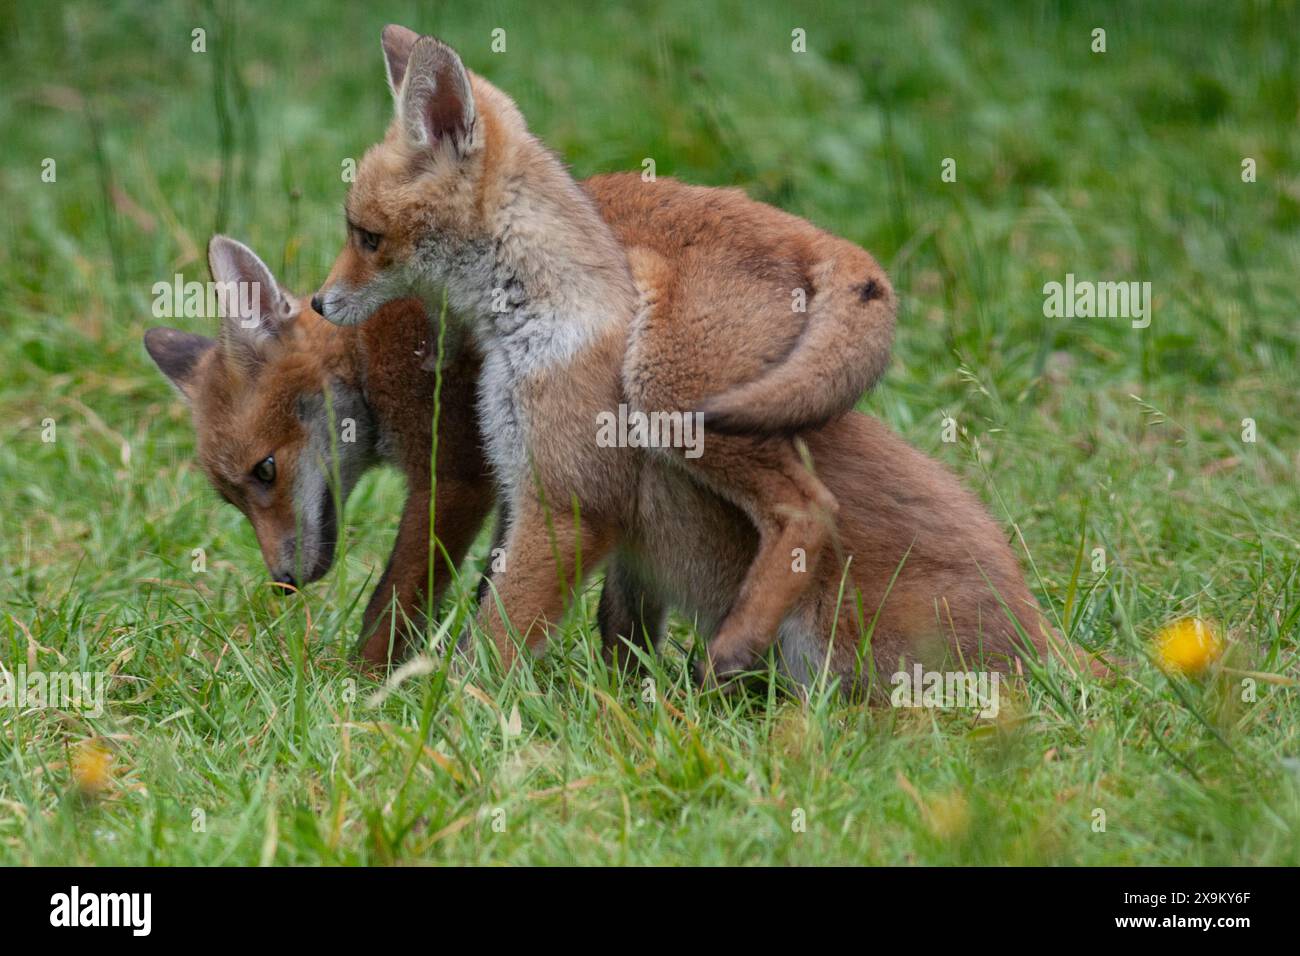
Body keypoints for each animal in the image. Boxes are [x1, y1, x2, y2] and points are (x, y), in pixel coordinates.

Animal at [148, 243, 1063, 692]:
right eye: (233, 495)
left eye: (265, 472)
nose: (285, 583)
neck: (370, 354)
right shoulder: (511, 491)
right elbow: (499, 589)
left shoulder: (457, 477)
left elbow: (397, 604)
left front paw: (360, 687)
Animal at [313, 25, 900, 683]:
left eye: (366, 237)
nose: (317, 303)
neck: (528, 308)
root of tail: (816, 239)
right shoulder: (516, 468)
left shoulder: (565, 497)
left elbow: (495, 634)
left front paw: (452, 697)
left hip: (670, 398)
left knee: (811, 507)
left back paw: (734, 643)